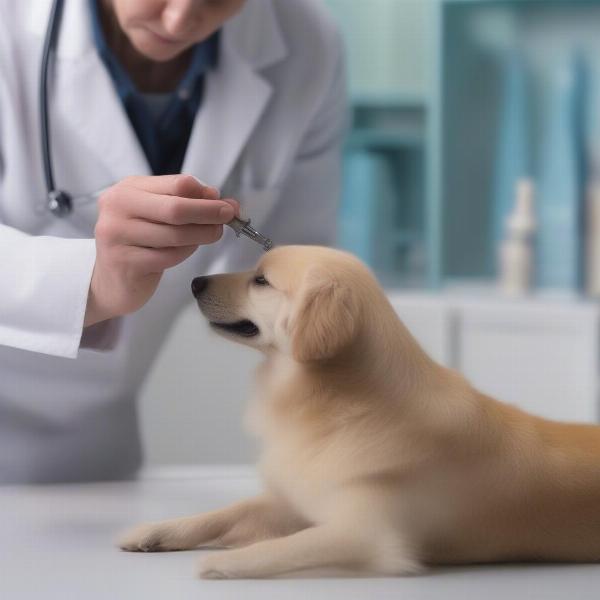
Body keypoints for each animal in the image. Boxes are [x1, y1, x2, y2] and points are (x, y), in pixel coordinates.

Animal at [119, 246, 600, 580]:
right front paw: (154, 532)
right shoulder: (294, 498)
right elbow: (222, 513)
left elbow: (286, 546)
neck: (340, 408)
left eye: (261, 280)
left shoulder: (370, 534)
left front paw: (223, 563)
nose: (195, 281)